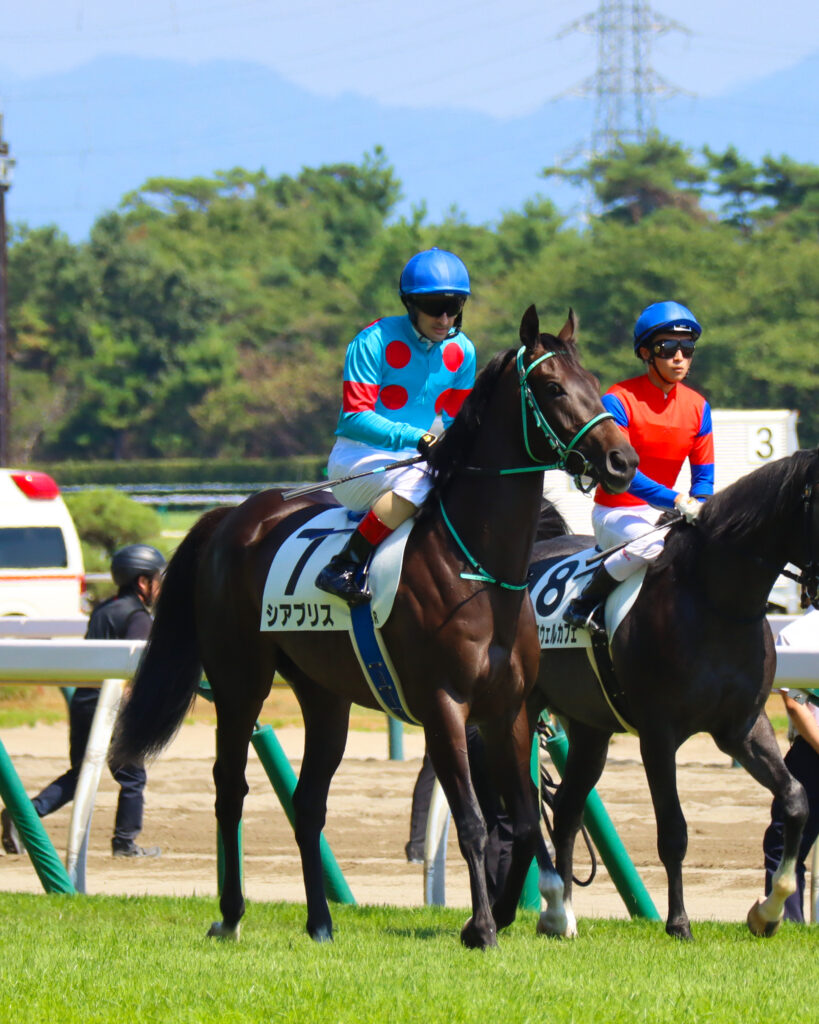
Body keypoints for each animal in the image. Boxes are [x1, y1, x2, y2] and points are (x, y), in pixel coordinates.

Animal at [112, 305, 638, 949]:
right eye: (554, 387)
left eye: (595, 383)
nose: (622, 461)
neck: (478, 570)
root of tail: (232, 516)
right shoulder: (443, 705)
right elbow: (472, 820)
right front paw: (484, 926)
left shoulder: (509, 708)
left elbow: (521, 820)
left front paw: (540, 913)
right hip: (240, 682)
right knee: (229, 788)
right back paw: (231, 915)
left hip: (323, 695)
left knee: (309, 803)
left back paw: (320, 922)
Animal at [527, 448, 819, 940]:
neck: (714, 600)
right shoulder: (658, 734)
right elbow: (674, 831)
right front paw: (679, 923)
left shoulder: (743, 727)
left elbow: (796, 800)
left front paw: (767, 912)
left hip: (589, 727)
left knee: (566, 811)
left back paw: (561, 917)